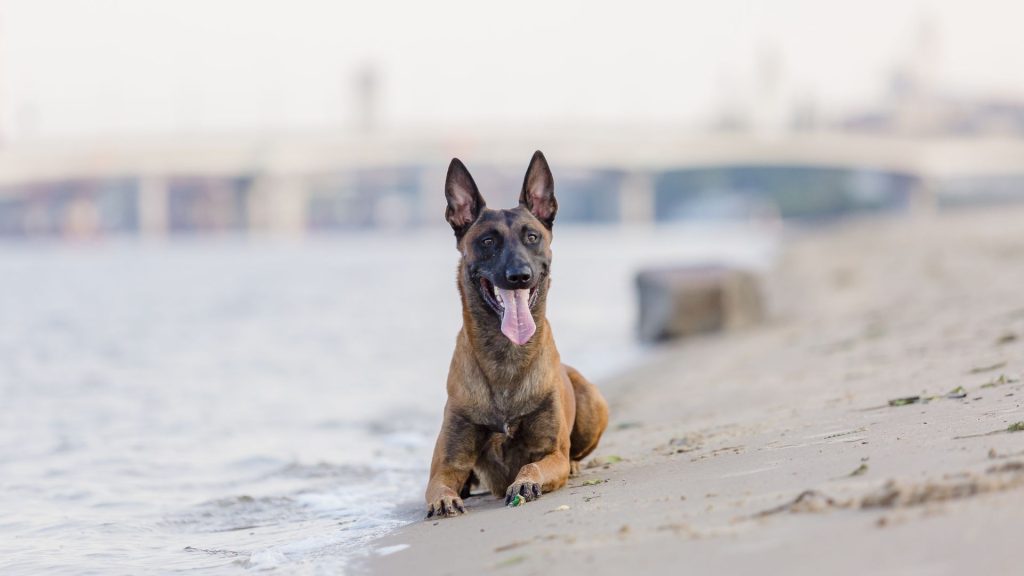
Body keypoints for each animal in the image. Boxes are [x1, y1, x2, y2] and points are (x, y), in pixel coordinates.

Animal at [423, 148, 606, 516]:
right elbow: (440, 484)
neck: (505, 356)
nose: (519, 276)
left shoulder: (552, 453)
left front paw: (525, 483)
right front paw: (445, 499)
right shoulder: (446, 464)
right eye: (488, 241)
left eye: (532, 237)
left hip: (593, 403)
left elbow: (532, 464)